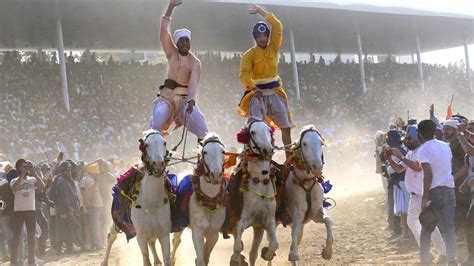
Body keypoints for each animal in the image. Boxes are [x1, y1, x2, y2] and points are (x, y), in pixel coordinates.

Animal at [101, 130, 171, 266]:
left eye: (164, 142)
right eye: (147, 144)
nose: (158, 165)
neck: (151, 202)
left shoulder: (164, 235)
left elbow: (167, 260)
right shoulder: (140, 236)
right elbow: (146, 260)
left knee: (152, 243)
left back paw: (157, 260)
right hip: (118, 220)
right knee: (111, 236)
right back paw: (104, 262)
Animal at [171, 134, 227, 264]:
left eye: (223, 151)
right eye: (205, 152)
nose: (216, 175)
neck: (209, 202)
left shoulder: (214, 234)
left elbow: (206, 257)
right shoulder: (197, 232)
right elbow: (201, 260)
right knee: (176, 241)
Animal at [231, 120, 280, 266]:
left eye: (269, 130)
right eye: (252, 132)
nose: (268, 149)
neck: (260, 182)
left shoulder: (267, 222)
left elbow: (274, 244)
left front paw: (267, 253)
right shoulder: (244, 218)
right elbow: (239, 232)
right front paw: (236, 258)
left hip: (258, 228)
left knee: (253, 253)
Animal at [286, 125, 334, 262]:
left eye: (321, 143)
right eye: (305, 143)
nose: (317, 166)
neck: (306, 182)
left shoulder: (316, 213)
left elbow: (328, 220)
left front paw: (327, 251)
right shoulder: (297, 214)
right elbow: (295, 232)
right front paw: (293, 253)